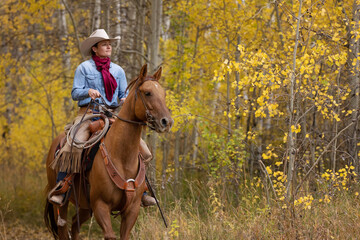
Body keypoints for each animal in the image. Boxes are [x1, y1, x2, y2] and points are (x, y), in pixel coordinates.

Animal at [44, 64, 174, 239]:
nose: (167, 122)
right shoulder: (101, 206)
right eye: (147, 92)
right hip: (62, 205)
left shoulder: (132, 210)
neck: (121, 157)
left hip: (85, 207)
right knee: (63, 227)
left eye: (163, 93)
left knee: (75, 226)